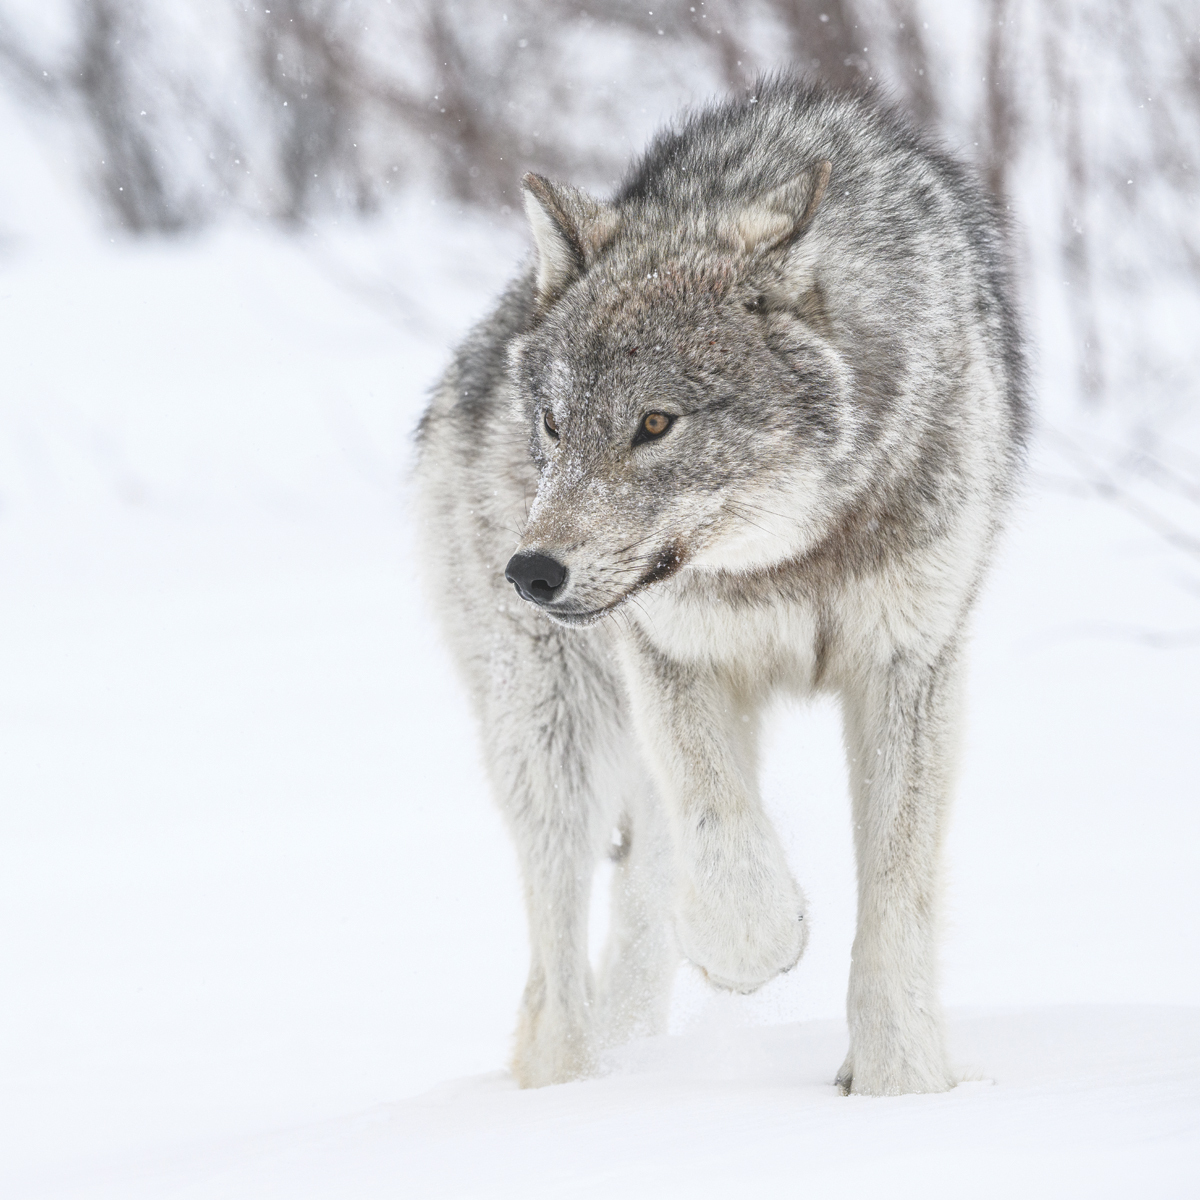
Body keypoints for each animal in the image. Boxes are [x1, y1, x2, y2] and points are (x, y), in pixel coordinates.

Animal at [415, 77, 1027, 1096]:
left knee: (639, 898)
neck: (788, 557)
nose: (532, 572)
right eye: (554, 423)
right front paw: (756, 948)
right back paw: (571, 1085)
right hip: (555, 731)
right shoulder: (672, 652)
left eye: (656, 424)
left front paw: (901, 1086)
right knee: (559, 958)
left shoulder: (909, 659)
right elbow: (722, 835)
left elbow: (896, 897)